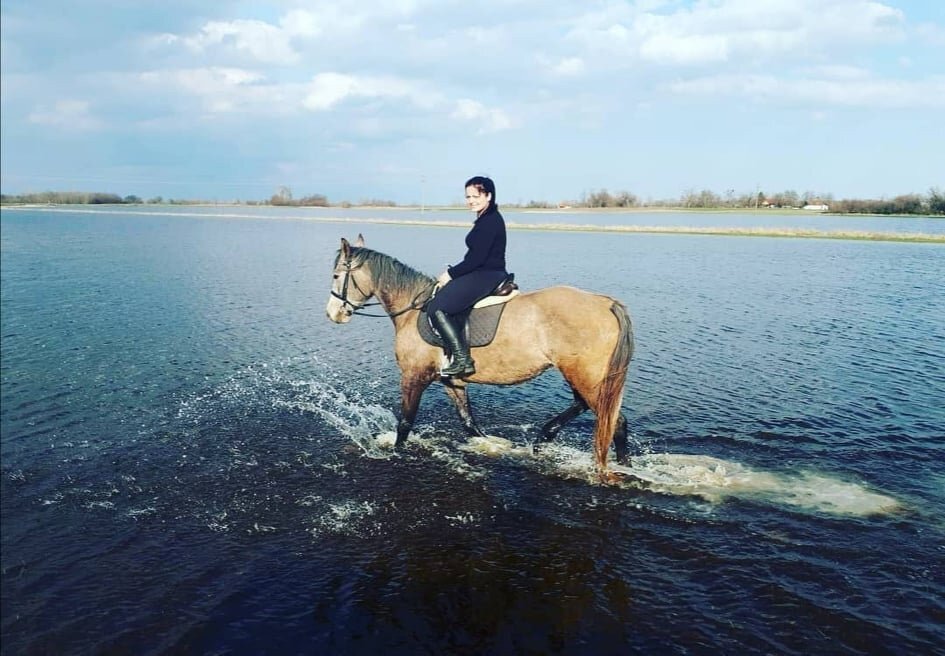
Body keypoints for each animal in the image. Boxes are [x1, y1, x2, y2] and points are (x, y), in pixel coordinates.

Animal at [324, 235, 634, 480]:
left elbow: (405, 423)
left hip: (587, 376)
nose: (332, 314)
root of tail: (605, 303)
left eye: (337, 276)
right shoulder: (452, 381)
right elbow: (470, 424)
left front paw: (395, 454)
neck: (413, 311)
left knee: (614, 422)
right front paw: (496, 447)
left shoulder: (413, 376)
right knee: (588, 408)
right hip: (581, 374)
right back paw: (546, 438)